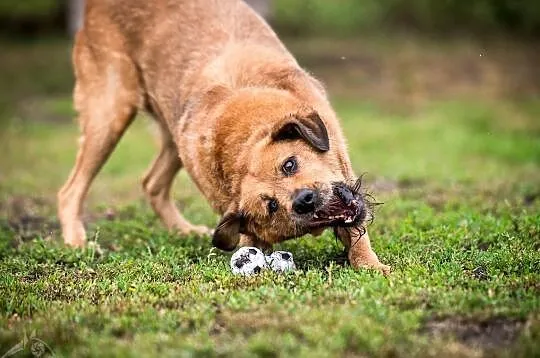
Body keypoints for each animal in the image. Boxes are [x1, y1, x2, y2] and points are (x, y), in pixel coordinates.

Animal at [58, 0, 388, 274]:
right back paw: (78, 242)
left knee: (151, 183)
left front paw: (371, 266)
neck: (242, 145)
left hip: (169, 134)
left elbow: (356, 232)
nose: (304, 200)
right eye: (271, 206)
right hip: (110, 113)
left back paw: (183, 230)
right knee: (70, 190)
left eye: (289, 164)